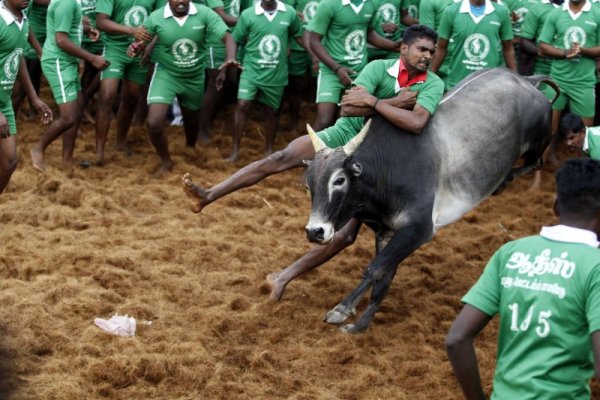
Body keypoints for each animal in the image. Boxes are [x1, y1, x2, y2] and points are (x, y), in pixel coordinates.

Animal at [304, 67, 556, 332]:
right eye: (308, 183)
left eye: (339, 180)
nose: (315, 231)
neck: (384, 170)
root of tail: (527, 81)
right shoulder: (388, 232)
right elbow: (383, 277)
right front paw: (361, 324)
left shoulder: (420, 228)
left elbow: (375, 269)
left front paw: (341, 310)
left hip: (538, 141)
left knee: (536, 163)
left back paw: (505, 181)